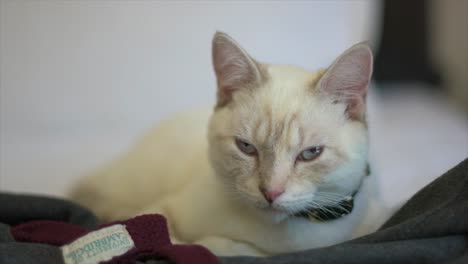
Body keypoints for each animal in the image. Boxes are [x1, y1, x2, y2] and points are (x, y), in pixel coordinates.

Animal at [71, 31, 390, 256]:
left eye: (310, 153)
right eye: (246, 147)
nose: (271, 192)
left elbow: (229, 249)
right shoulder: (160, 211)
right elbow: (177, 241)